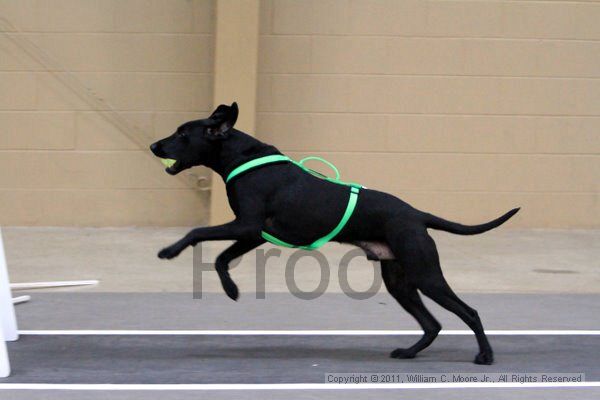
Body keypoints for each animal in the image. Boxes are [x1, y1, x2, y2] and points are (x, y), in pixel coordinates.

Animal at [148, 101, 516, 364]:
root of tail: (416, 215)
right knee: (432, 324)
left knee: (469, 312)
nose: (153, 146)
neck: (239, 156)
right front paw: (231, 289)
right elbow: (222, 258)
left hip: (425, 274)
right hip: (399, 280)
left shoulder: (247, 225)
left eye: (183, 135)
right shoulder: (252, 233)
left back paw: (485, 355)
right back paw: (409, 352)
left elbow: (198, 232)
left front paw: (170, 250)